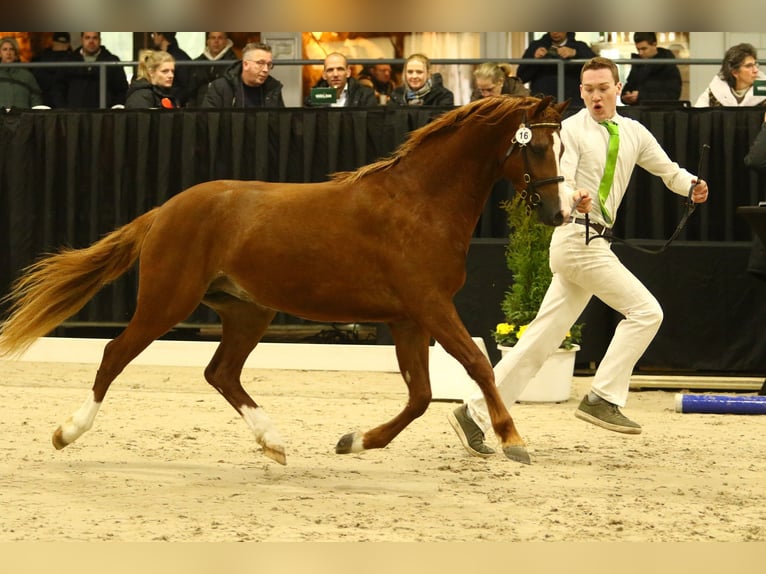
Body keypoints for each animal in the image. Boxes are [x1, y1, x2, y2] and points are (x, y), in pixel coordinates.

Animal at [0, 95, 568, 468]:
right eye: (538, 146)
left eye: (560, 146)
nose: (560, 213)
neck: (419, 202)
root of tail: (166, 210)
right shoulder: (429, 306)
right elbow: (476, 364)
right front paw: (513, 440)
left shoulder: (409, 318)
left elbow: (421, 396)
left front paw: (353, 441)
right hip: (168, 301)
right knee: (115, 354)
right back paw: (68, 432)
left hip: (248, 310)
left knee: (221, 373)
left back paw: (272, 442)